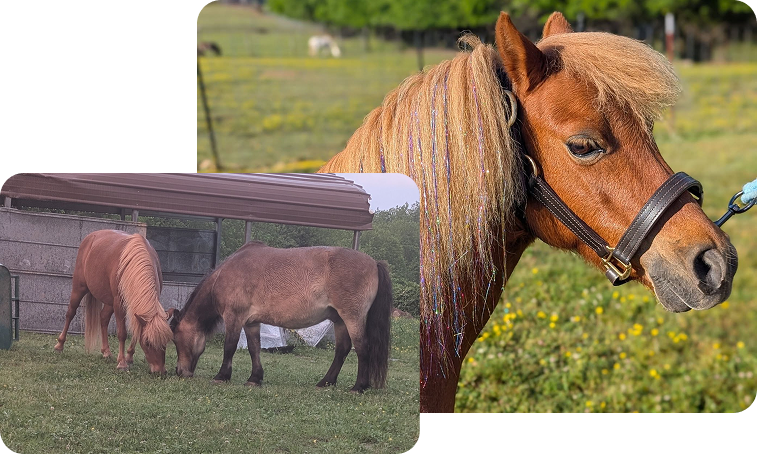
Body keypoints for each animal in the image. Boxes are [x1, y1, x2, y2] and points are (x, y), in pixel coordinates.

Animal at [53, 230, 173, 374]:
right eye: (148, 342)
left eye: (165, 342)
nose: (160, 371)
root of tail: (91, 236)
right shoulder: (119, 303)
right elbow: (122, 333)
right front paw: (122, 363)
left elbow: (136, 330)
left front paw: (129, 357)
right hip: (79, 288)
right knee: (70, 313)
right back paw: (59, 345)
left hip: (109, 300)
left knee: (103, 318)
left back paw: (106, 352)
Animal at [168, 241, 392, 393]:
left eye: (176, 339)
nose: (179, 372)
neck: (224, 274)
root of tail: (374, 263)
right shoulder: (251, 323)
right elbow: (254, 349)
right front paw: (255, 378)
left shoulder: (234, 318)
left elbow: (229, 347)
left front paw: (222, 376)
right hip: (339, 321)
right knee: (342, 350)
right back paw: (325, 382)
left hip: (352, 318)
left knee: (362, 348)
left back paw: (358, 387)